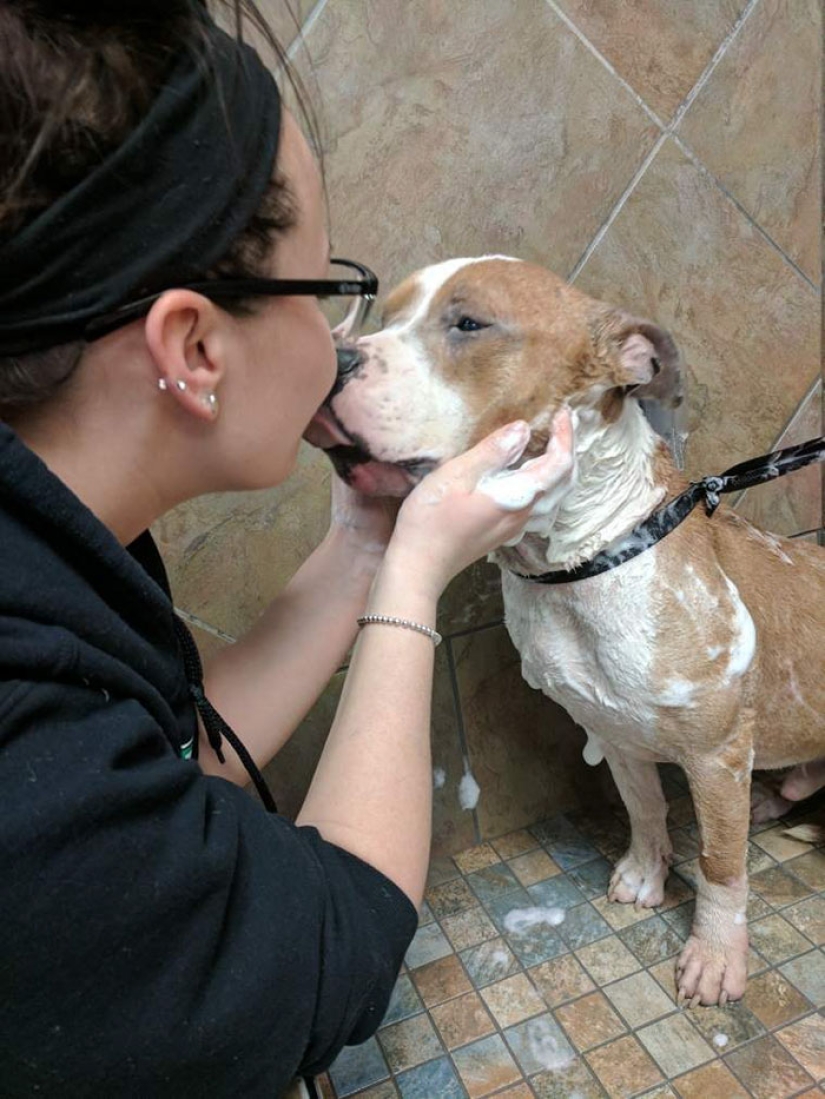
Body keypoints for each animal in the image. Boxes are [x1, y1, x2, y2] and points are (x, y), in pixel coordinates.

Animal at [307, 254, 825, 1006]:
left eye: (470, 323)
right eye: (384, 314)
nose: (334, 357)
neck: (583, 561)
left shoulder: (717, 751)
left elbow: (720, 864)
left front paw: (715, 954)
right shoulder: (615, 730)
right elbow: (645, 810)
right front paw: (645, 874)